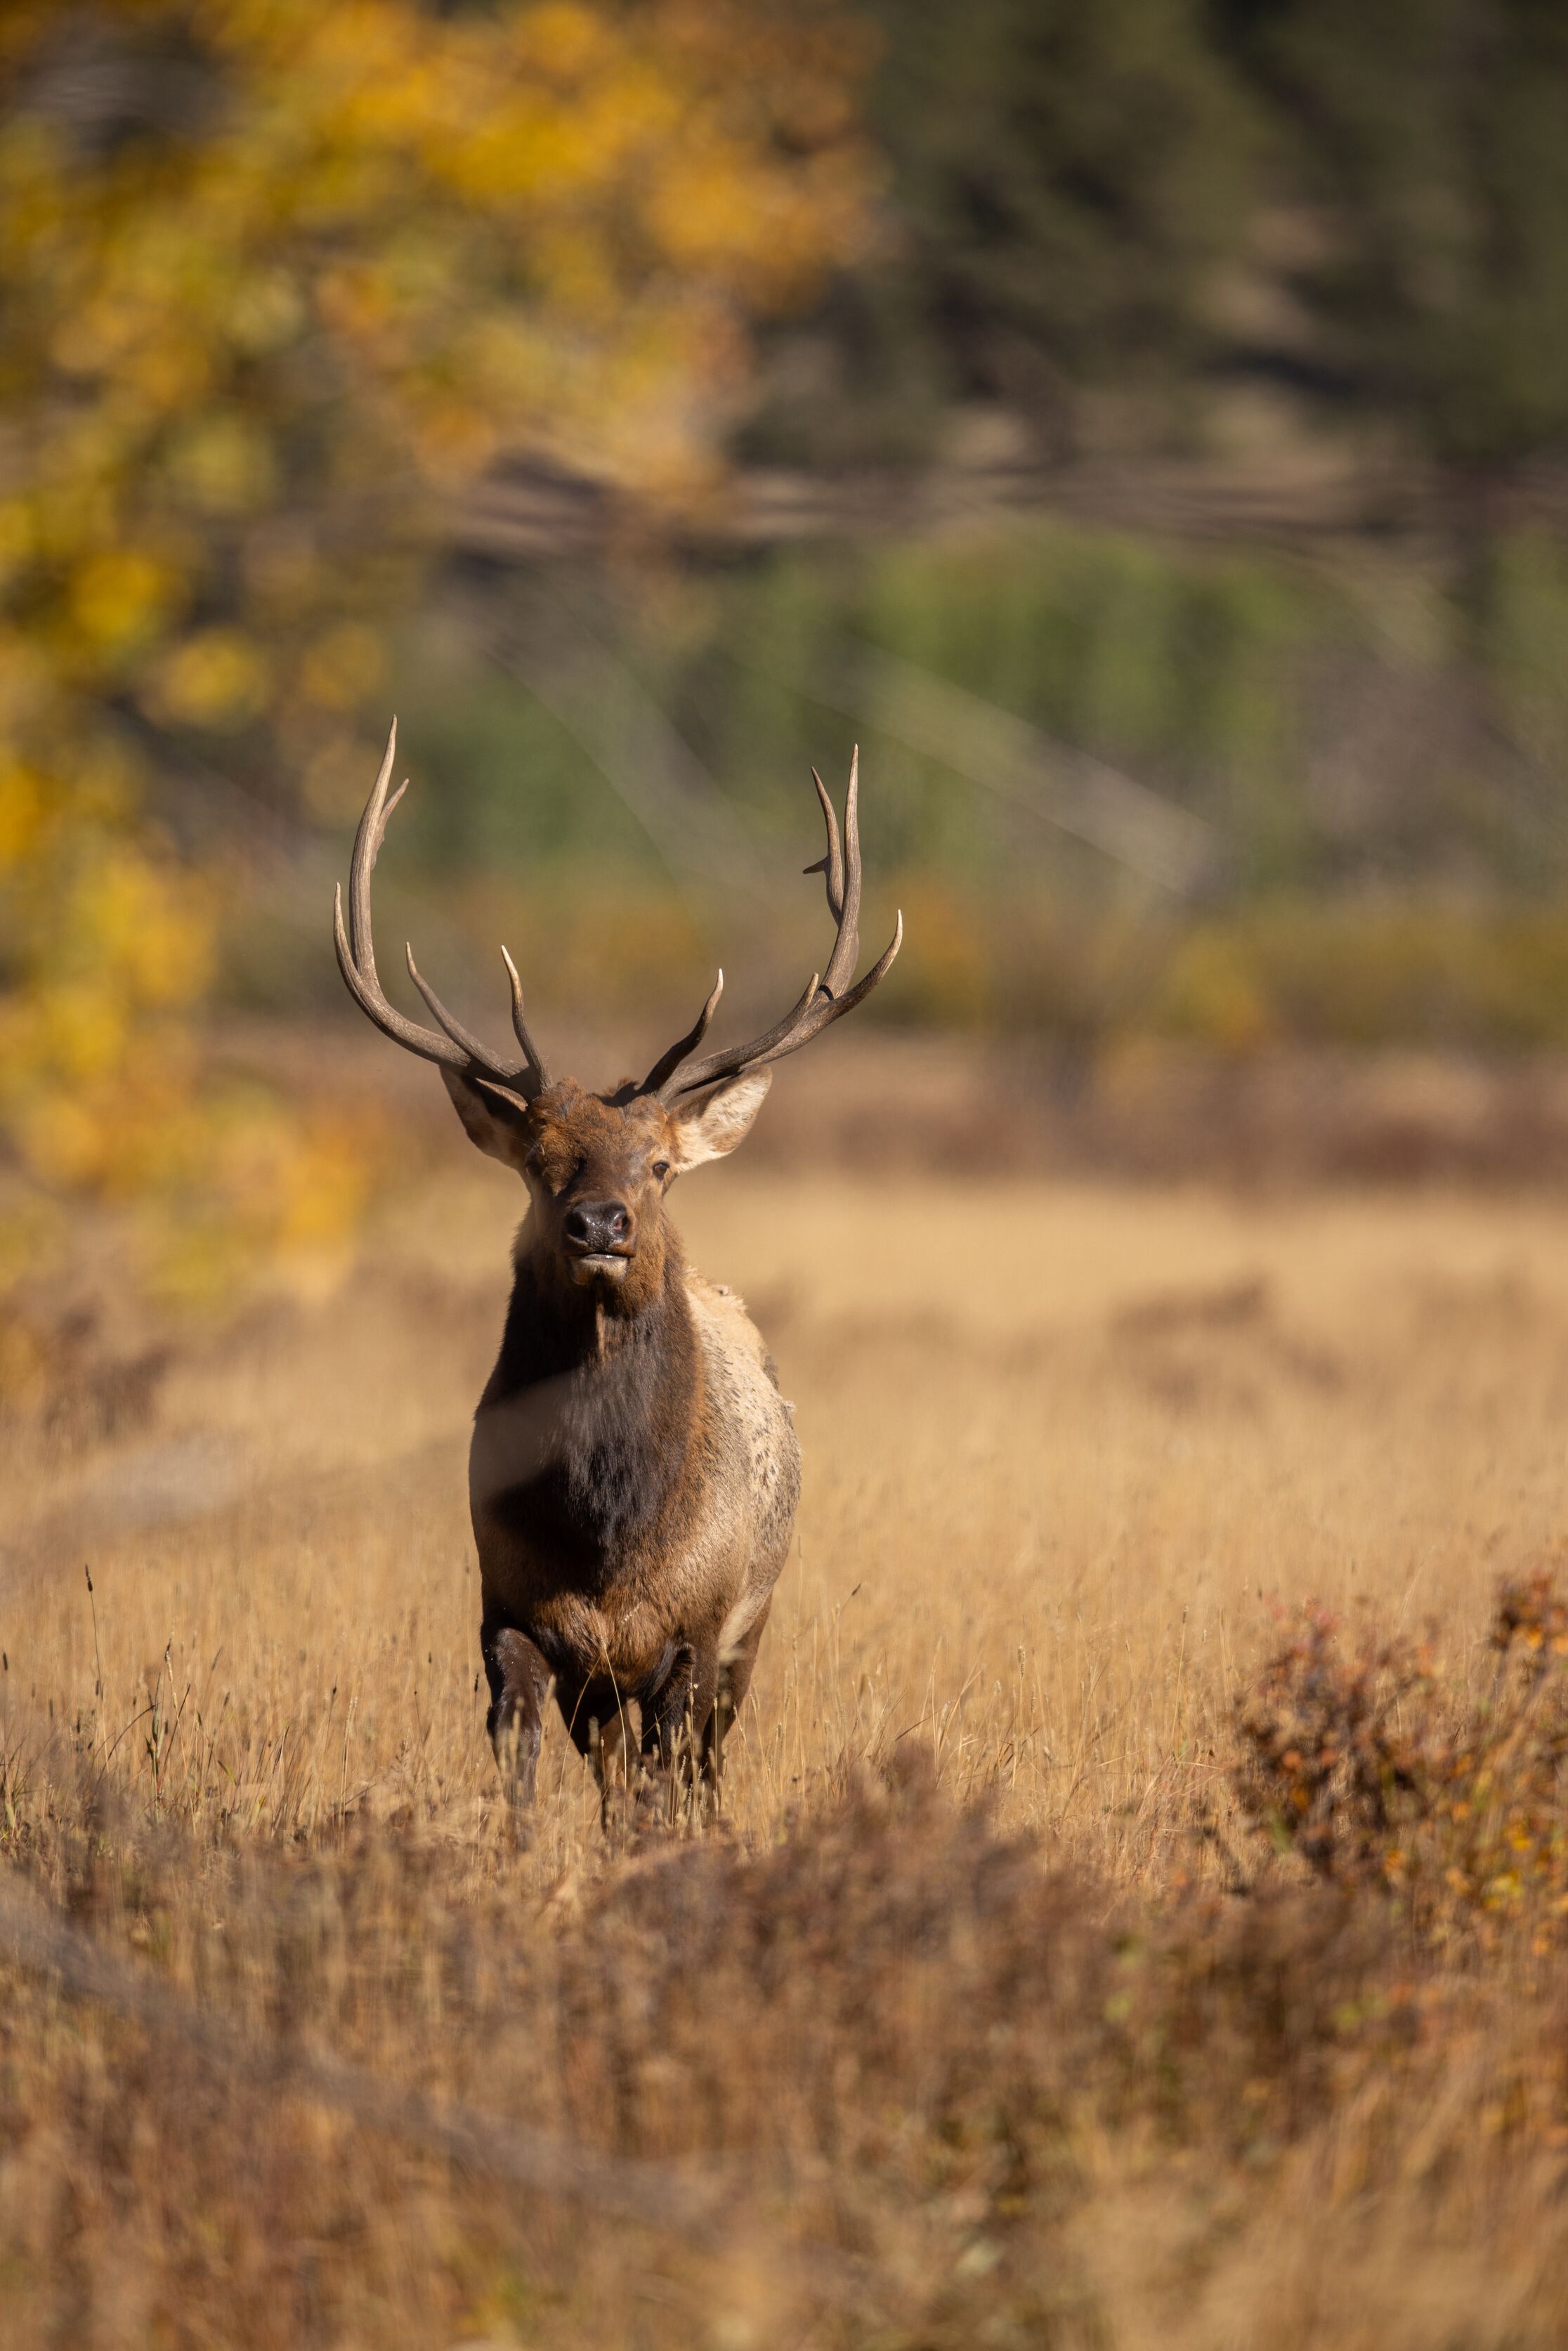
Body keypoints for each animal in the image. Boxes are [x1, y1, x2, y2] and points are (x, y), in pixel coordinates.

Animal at [333, 723, 900, 1823]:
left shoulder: (696, 1629)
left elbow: (664, 1788)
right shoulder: (509, 1612)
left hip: (753, 1627)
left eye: (662, 1164)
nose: (601, 1223)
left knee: (696, 1768)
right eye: (539, 1161)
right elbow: (522, 1771)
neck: (609, 1538)